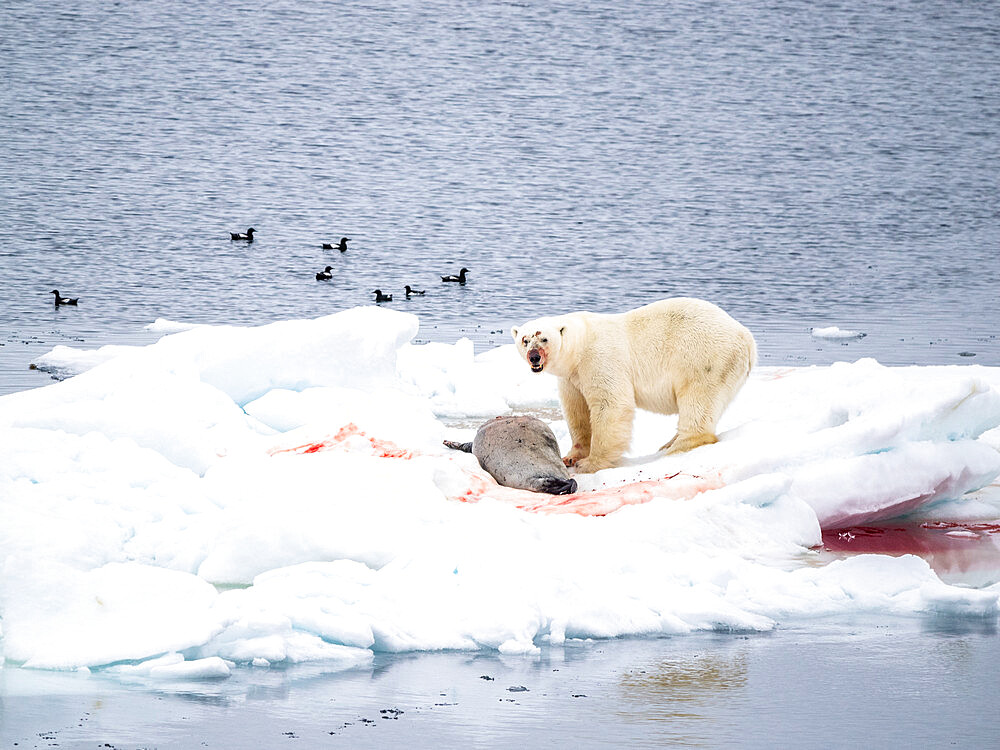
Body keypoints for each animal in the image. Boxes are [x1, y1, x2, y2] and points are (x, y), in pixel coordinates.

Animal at [512, 296, 752, 472]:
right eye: (525, 340)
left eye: (544, 338)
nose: (534, 357)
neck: (579, 345)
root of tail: (748, 339)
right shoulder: (572, 377)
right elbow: (576, 410)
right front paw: (571, 457)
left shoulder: (599, 358)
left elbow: (610, 404)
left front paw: (590, 463)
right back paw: (669, 443)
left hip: (705, 359)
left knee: (698, 399)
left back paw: (676, 447)